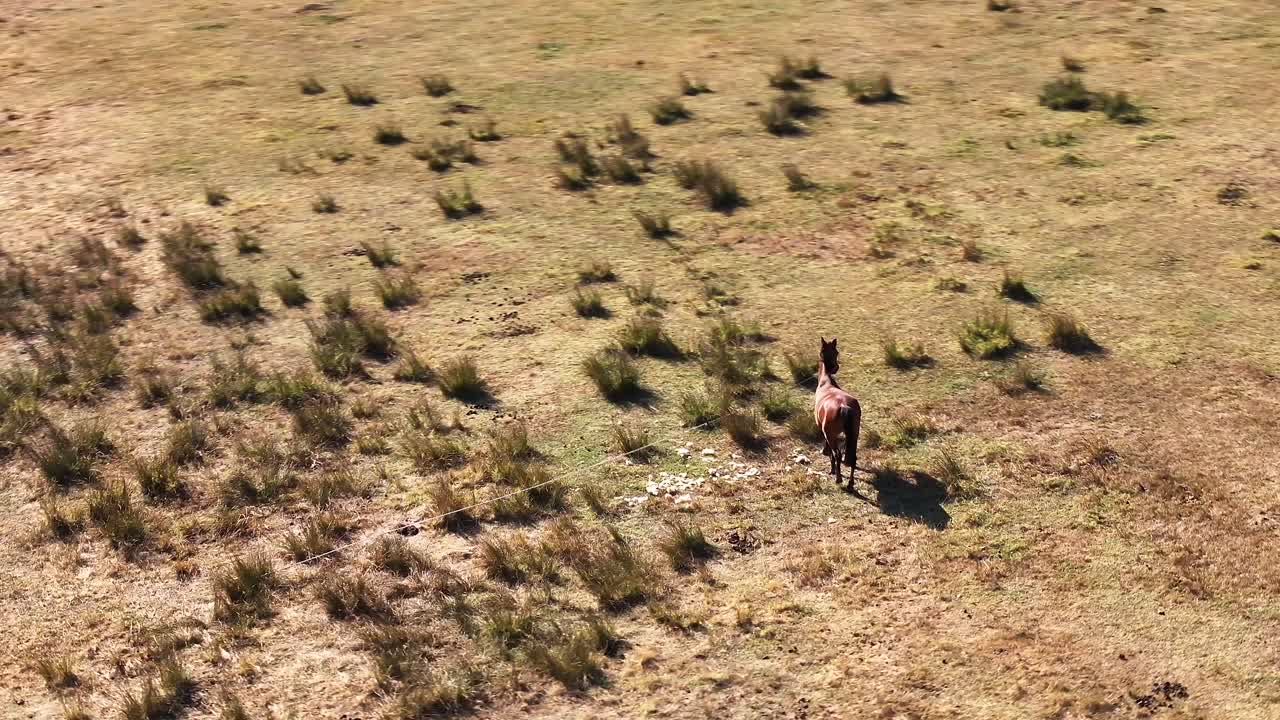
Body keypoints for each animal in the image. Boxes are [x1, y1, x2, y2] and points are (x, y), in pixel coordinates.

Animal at [814, 337, 861, 485]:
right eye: (836, 352)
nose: (835, 368)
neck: (826, 382)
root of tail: (844, 406)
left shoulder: (825, 431)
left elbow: (830, 451)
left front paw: (828, 459)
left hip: (833, 436)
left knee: (837, 454)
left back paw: (838, 478)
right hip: (854, 434)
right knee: (853, 457)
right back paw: (850, 484)